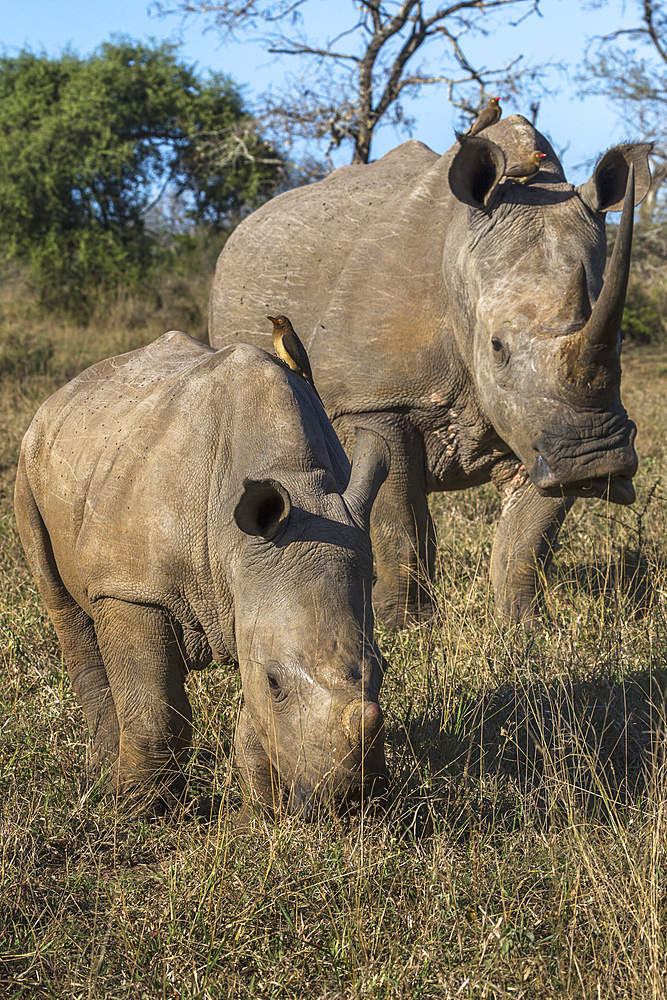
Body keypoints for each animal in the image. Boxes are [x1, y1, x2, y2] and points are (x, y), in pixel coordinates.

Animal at [14, 332, 392, 816]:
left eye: (382, 667)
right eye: (276, 682)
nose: (351, 800)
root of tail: (66, 391)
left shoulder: (257, 586)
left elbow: (257, 719)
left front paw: (261, 817)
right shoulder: (132, 589)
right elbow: (155, 711)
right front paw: (133, 811)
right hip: (33, 459)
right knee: (62, 603)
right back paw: (100, 778)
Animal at [209, 115, 652, 624]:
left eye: (621, 342)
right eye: (496, 347)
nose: (596, 458)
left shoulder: (543, 426)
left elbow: (527, 539)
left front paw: (524, 626)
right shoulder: (376, 400)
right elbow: (399, 521)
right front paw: (402, 625)